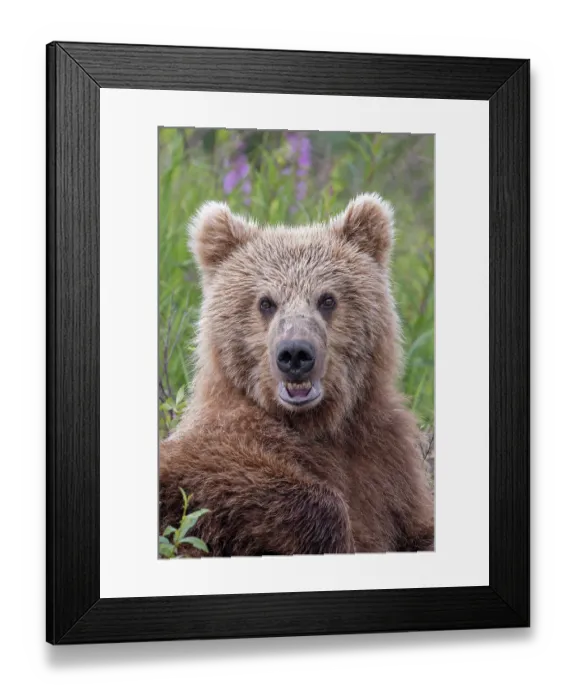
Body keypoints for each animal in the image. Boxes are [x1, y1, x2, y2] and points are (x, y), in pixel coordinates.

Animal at [159, 193, 434, 556]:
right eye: (266, 302)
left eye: (327, 299)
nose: (295, 354)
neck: (314, 422)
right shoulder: (224, 448)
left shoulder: (388, 463)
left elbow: (417, 526)